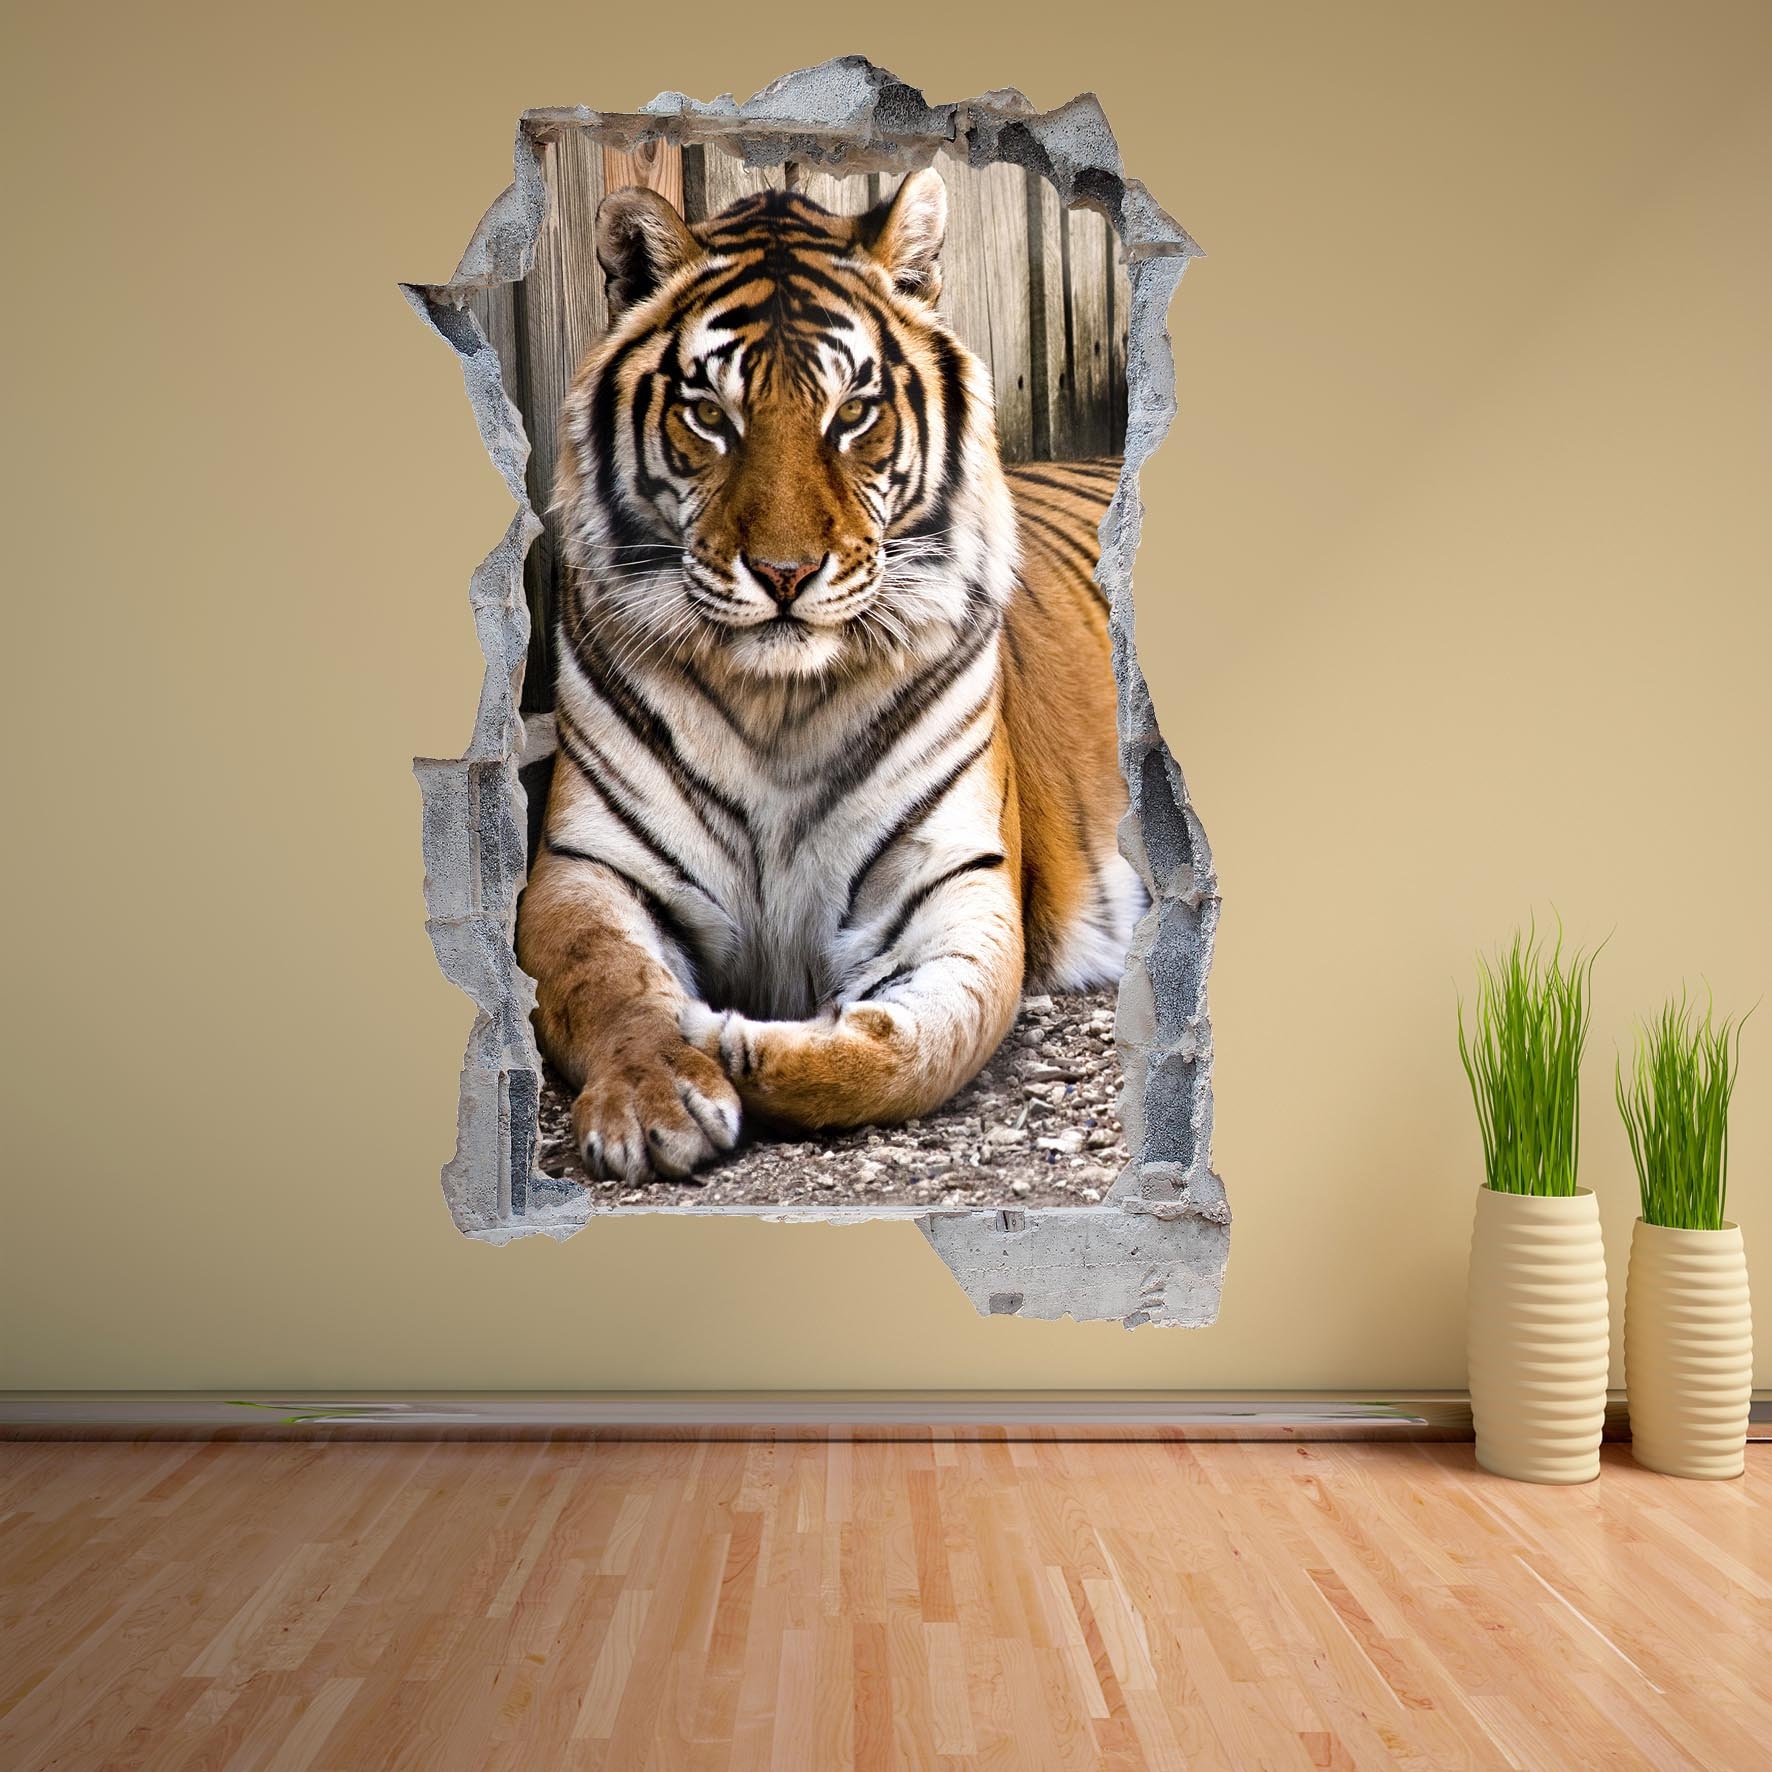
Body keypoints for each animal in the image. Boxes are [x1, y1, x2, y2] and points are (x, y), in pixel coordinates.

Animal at [515, 167, 1143, 1184]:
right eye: (710, 415)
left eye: (852, 413)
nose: (784, 574)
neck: (777, 707)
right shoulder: (587, 870)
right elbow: (601, 982)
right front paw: (654, 1090)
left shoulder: (953, 890)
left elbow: (899, 1054)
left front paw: (722, 1037)